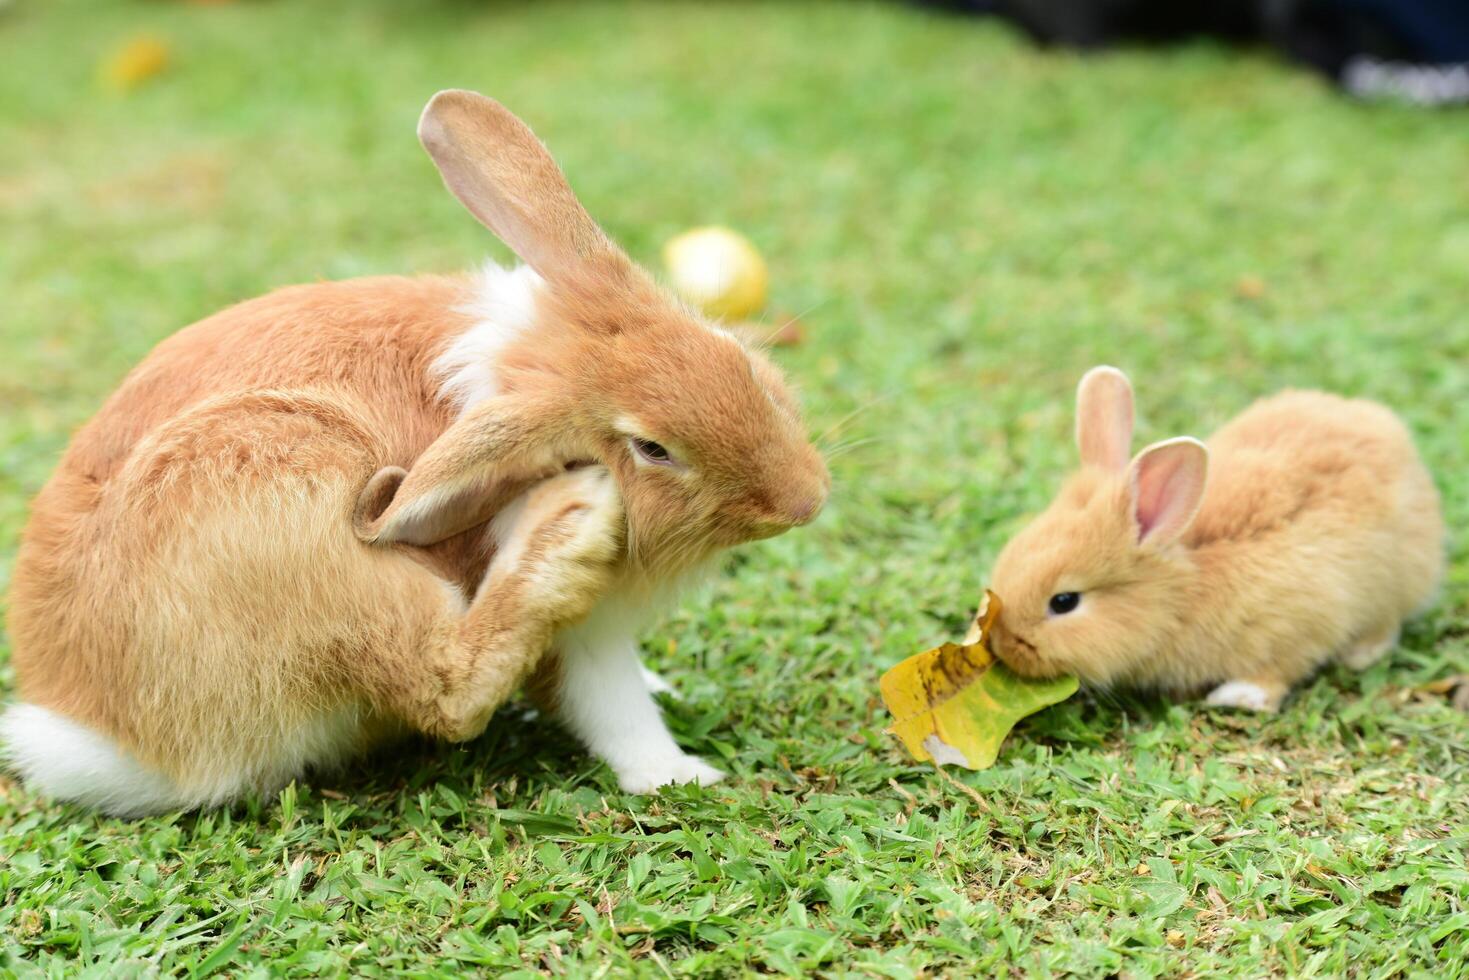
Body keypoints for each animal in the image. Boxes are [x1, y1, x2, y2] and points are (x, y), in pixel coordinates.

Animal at [0, 91, 828, 816]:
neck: (523, 366)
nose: (806, 499)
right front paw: (681, 775)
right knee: (443, 691)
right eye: (652, 448)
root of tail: (118, 741)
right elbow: (610, 705)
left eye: (736, 357)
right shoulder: (587, 629)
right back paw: (562, 526)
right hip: (293, 516)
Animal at [987, 364, 1445, 708]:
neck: (1183, 592)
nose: (1001, 644)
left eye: (1064, 602)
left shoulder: (1295, 624)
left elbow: (1278, 671)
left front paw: (1238, 697)